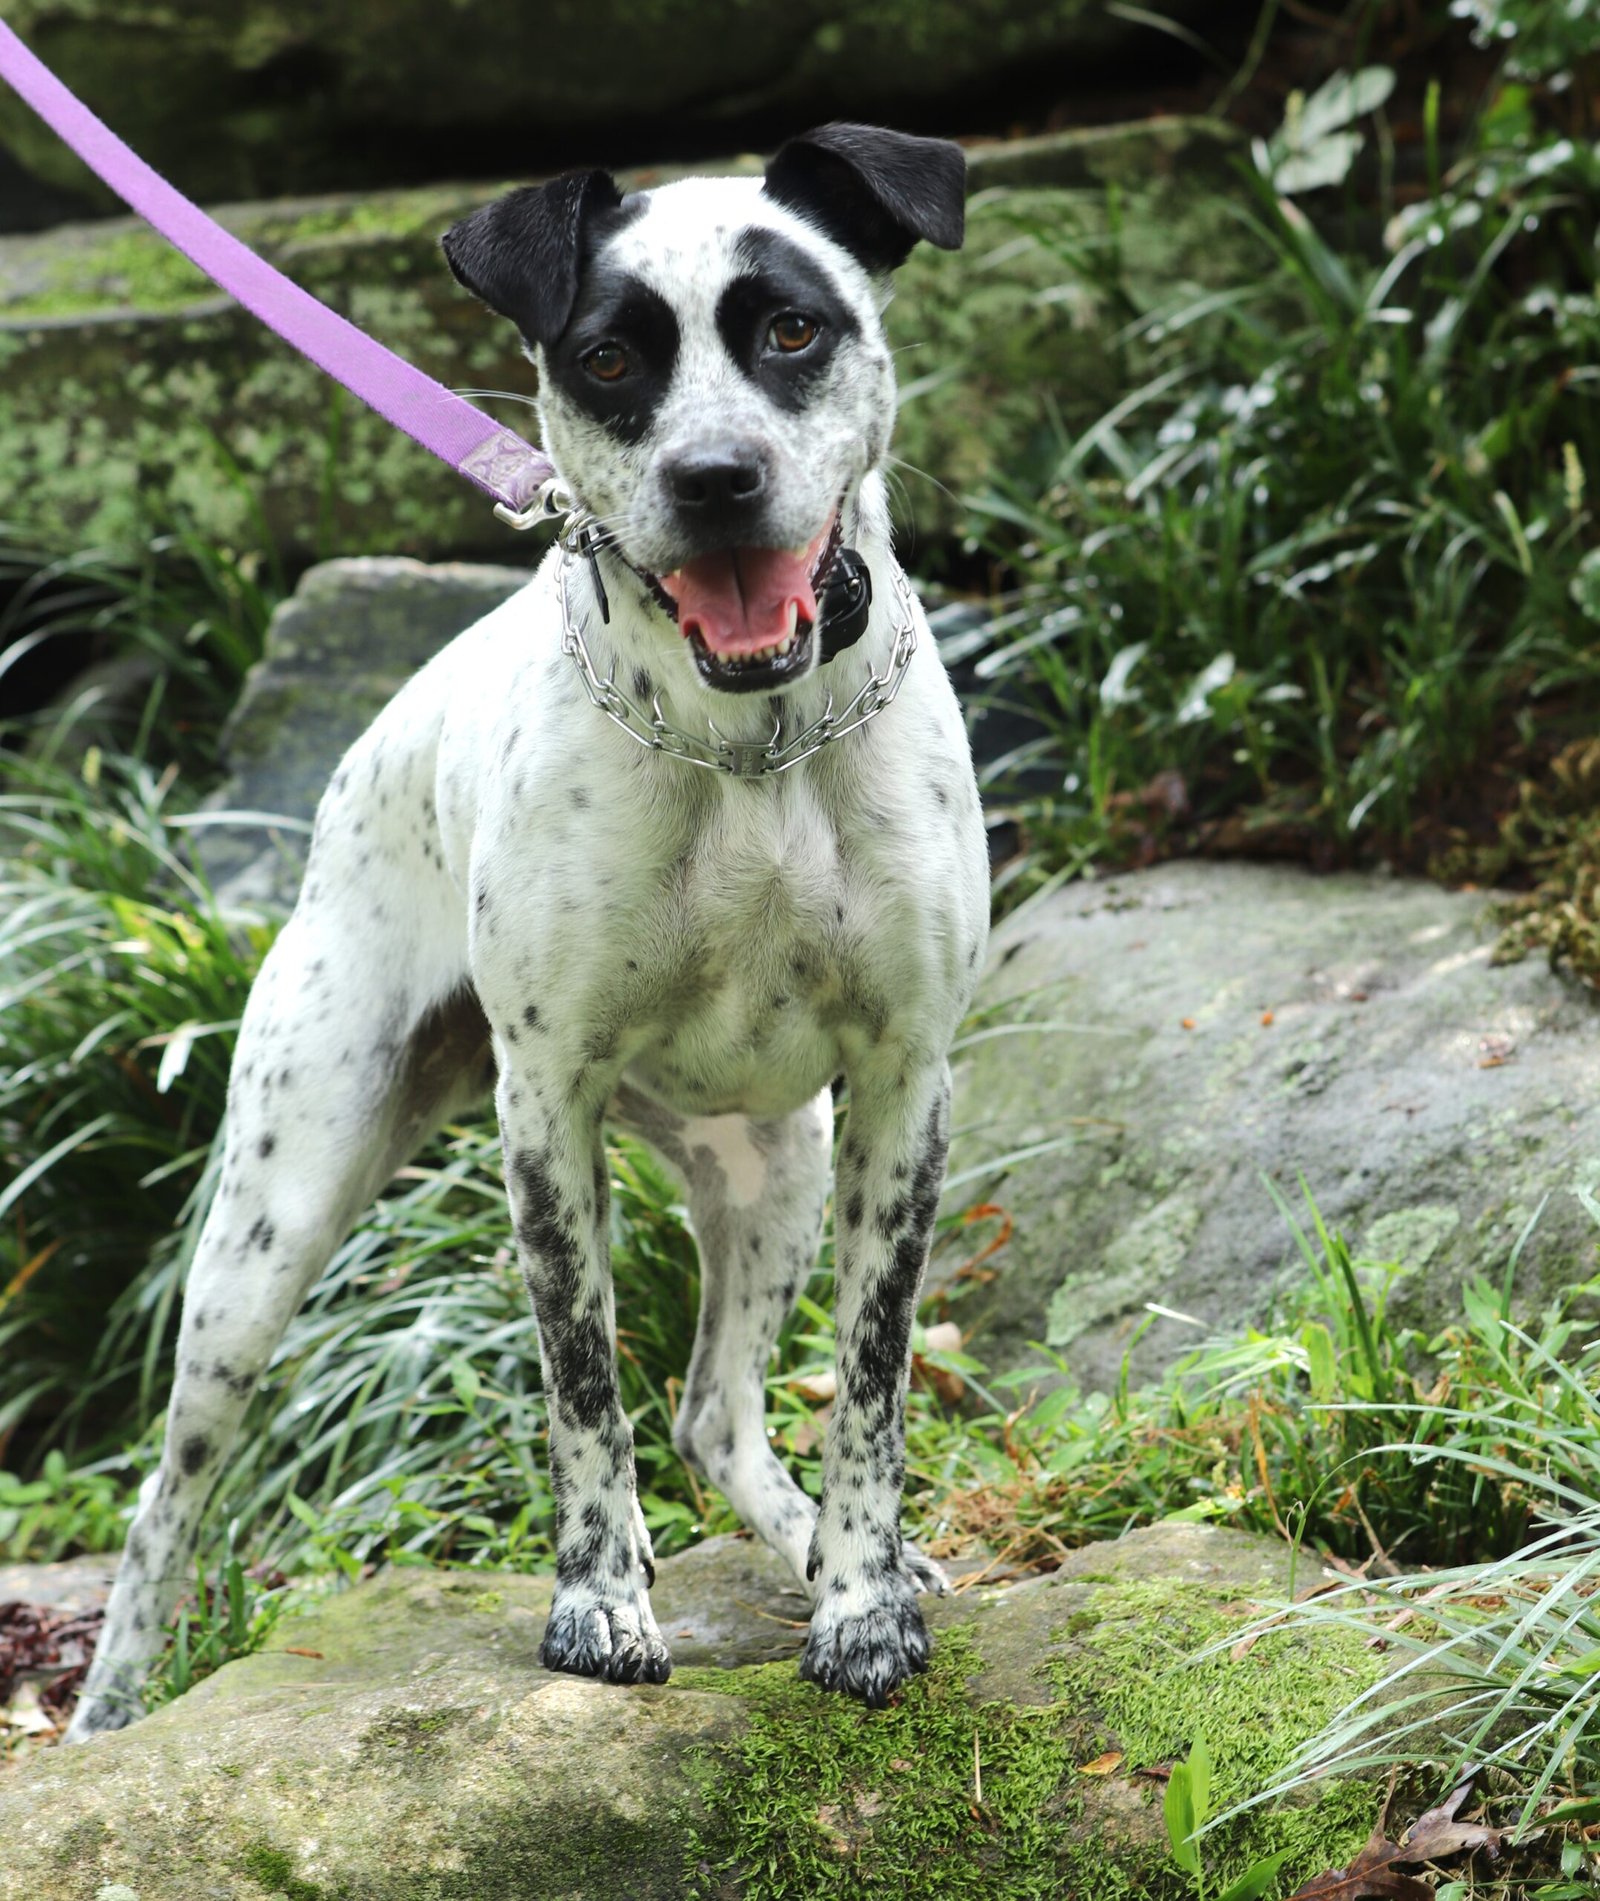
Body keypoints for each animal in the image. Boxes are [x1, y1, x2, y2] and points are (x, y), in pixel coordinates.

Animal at [67, 122, 989, 1737]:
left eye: (793, 329)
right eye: (609, 356)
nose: (715, 479)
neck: (747, 753)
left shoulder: (900, 1083)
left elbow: (870, 1385)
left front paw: (863, 1601)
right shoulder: (545, 1105)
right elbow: (580, 1386)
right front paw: (600, 1606)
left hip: (778, 1169)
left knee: (712, 1411)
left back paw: (806, 1544)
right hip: (272, 1220)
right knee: (168, 1496)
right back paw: (110, 1707)